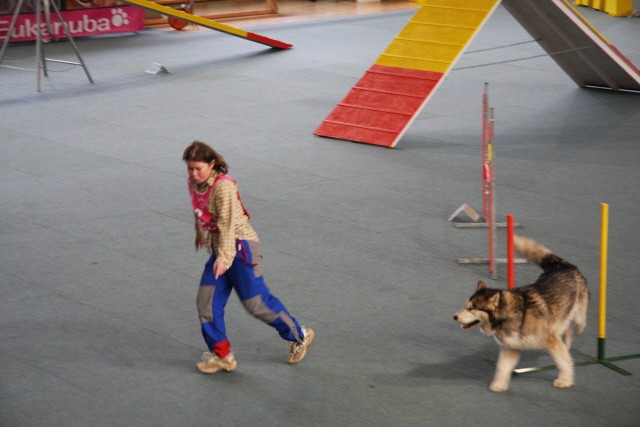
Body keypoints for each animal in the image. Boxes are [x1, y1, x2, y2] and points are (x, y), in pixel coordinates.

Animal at [452, 236, 588, 392]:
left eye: (471, 308)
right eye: (466, 306)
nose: (454, 317)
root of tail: (560, 265)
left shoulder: (551, 341)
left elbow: (563, 361)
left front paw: (565, 380)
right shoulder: (511, 348)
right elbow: (502, 368)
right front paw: (498, 385)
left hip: (578, 306)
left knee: (579, 320)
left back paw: (579, 327)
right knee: (567, 329)